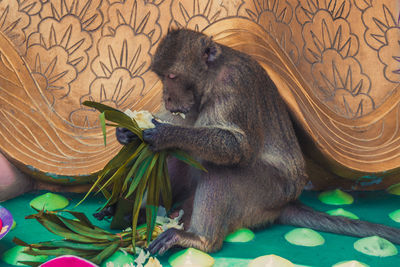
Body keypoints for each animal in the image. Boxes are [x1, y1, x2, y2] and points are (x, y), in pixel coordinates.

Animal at [115, 28, 400, 255]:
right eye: (161, 77)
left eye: (172, 77)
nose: (166, 97)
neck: (211, 76)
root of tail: (284, 203)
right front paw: (128, 132)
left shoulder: (232, 84)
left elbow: (237, 146)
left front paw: (164, 134)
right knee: (175, 156)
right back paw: (139, 212)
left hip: (266, 193)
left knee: (221, 170)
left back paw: (199, 239)